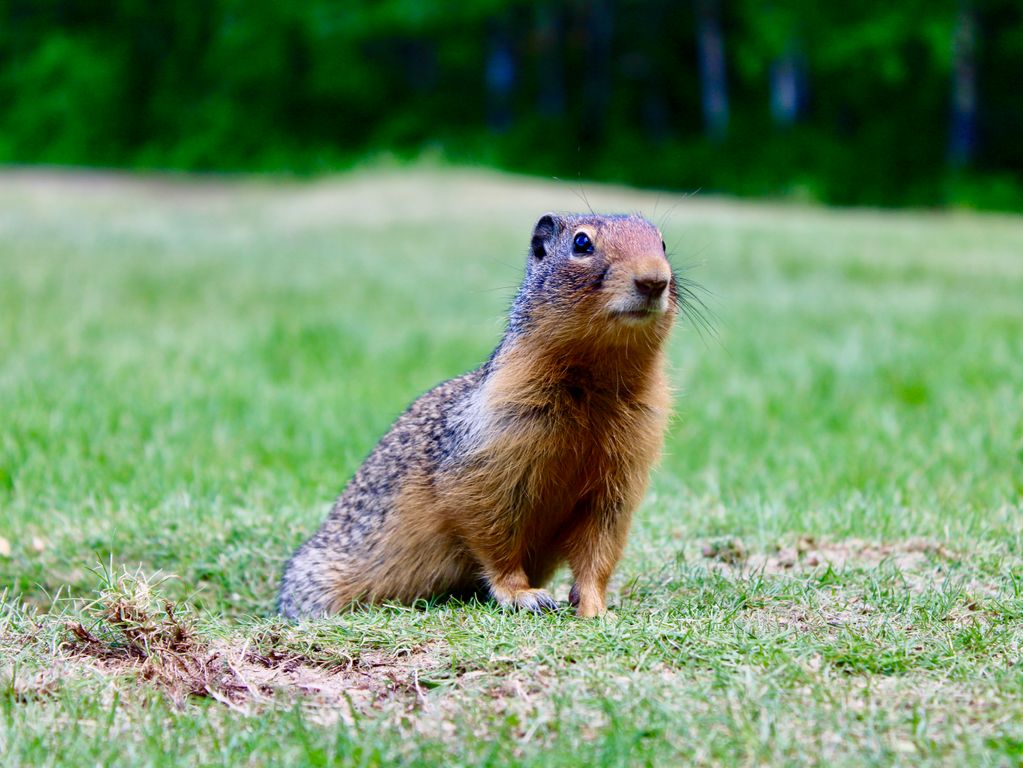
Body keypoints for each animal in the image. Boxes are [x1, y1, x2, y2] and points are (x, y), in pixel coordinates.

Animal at [276, 211, 683, 617]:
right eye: (582, 243)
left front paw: (596, 608)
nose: (654, 279)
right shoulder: (491, 451)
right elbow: (493, 528)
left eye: (662, 243)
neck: (595, 382)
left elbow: (600, 543)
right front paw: (524, 595)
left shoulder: (622, 474)